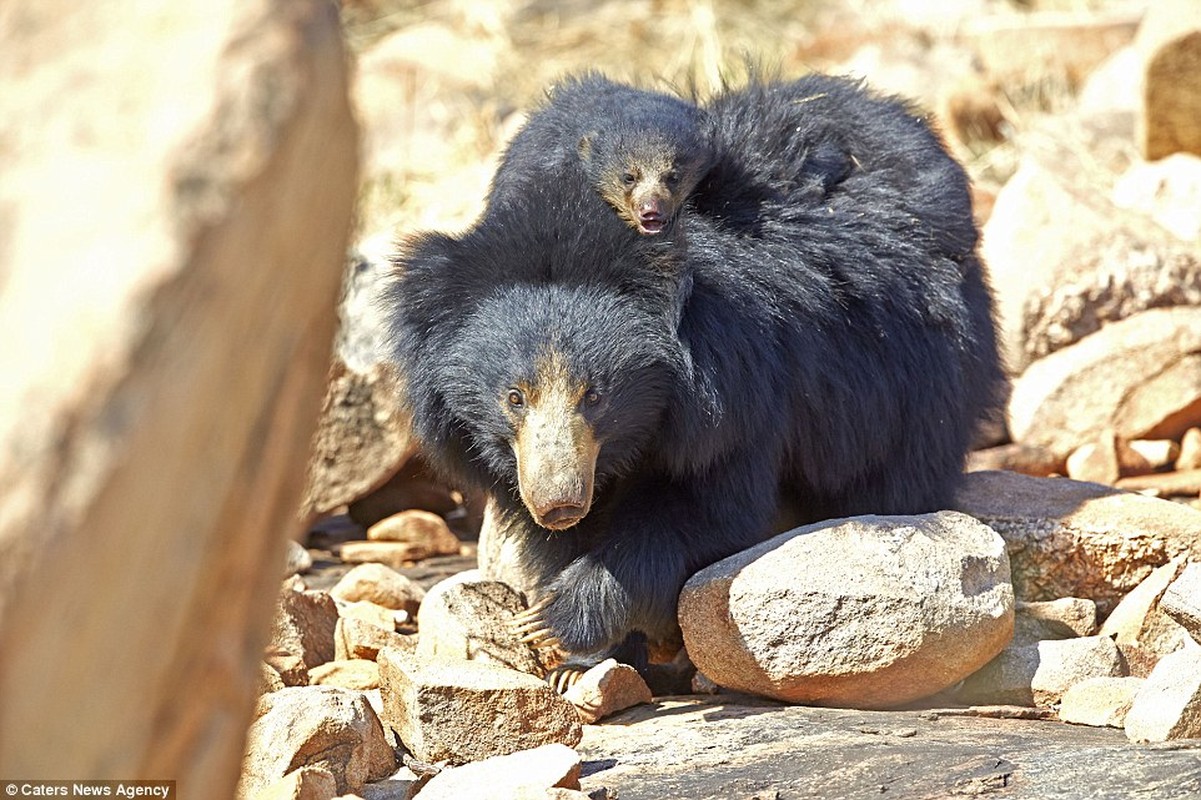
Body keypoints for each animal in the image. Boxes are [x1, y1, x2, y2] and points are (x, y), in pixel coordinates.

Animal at [386, 74, 1004, 663]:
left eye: (596, 396)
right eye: (514, 397)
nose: (559, 502)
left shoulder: (742, 394)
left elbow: (709, 509)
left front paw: (558, 618)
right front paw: (577, 640)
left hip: (914, 375)